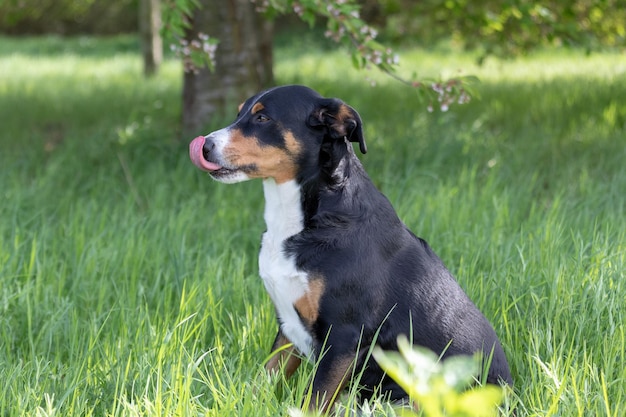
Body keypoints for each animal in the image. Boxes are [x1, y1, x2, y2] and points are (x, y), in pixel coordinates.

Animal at [190, 84, 512, 410]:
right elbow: (261, 381)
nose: (204, 146)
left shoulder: (343, 338)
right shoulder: (288, 328)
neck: (307, 219)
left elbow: (313, 400)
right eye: (239, 114)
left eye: (262, 118)